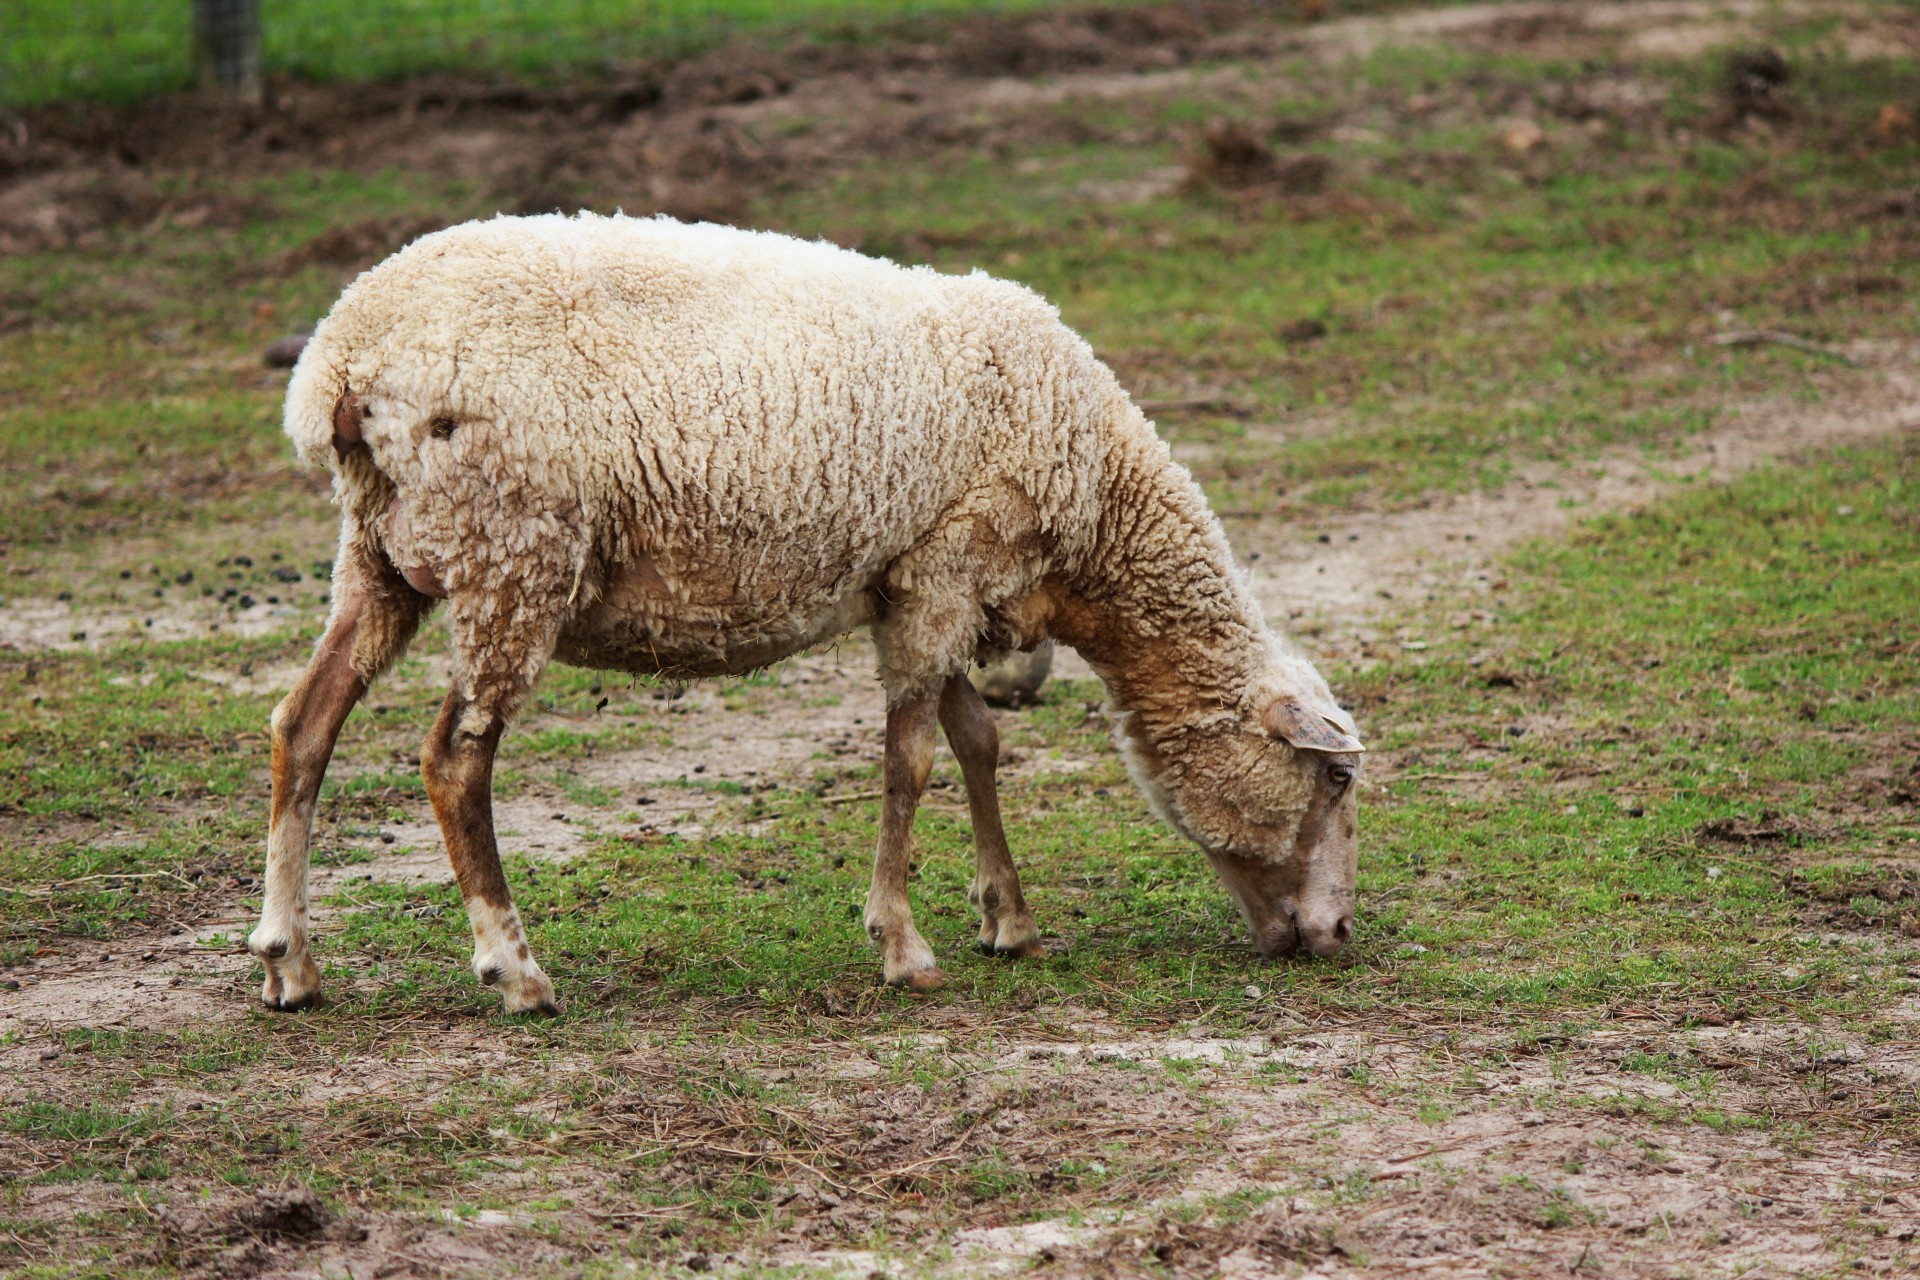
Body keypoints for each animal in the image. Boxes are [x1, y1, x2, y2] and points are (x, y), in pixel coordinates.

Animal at [251, 214, 1367, 1013]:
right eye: (1333, 778)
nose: (1337, 936)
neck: (1098, 511)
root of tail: (342, 361)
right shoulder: (947, 567)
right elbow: (911, 760)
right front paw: (904, 945)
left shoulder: (919, 577)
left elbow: (975, 740)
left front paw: (1008, 918)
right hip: (510, 552)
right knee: (454, 759)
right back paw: (516, 970)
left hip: (382, 556)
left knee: (304, 725)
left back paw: (289, 963)